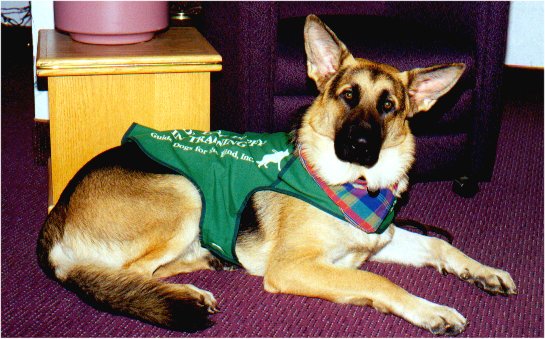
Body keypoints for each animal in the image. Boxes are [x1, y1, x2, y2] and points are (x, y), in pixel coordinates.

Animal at [37, 15, 516, 334]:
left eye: (388, 107)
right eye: (348, 96)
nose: (361, 146)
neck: (355, 186)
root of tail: (56, 215)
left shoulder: (382, 239)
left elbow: (439, 245)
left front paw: (482, 271)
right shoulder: (293, 267)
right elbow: (375, 279)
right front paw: (429, 309)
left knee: (149, 271)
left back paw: (211, 260)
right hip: (185, 190)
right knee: (130, 274)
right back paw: (188, 292)